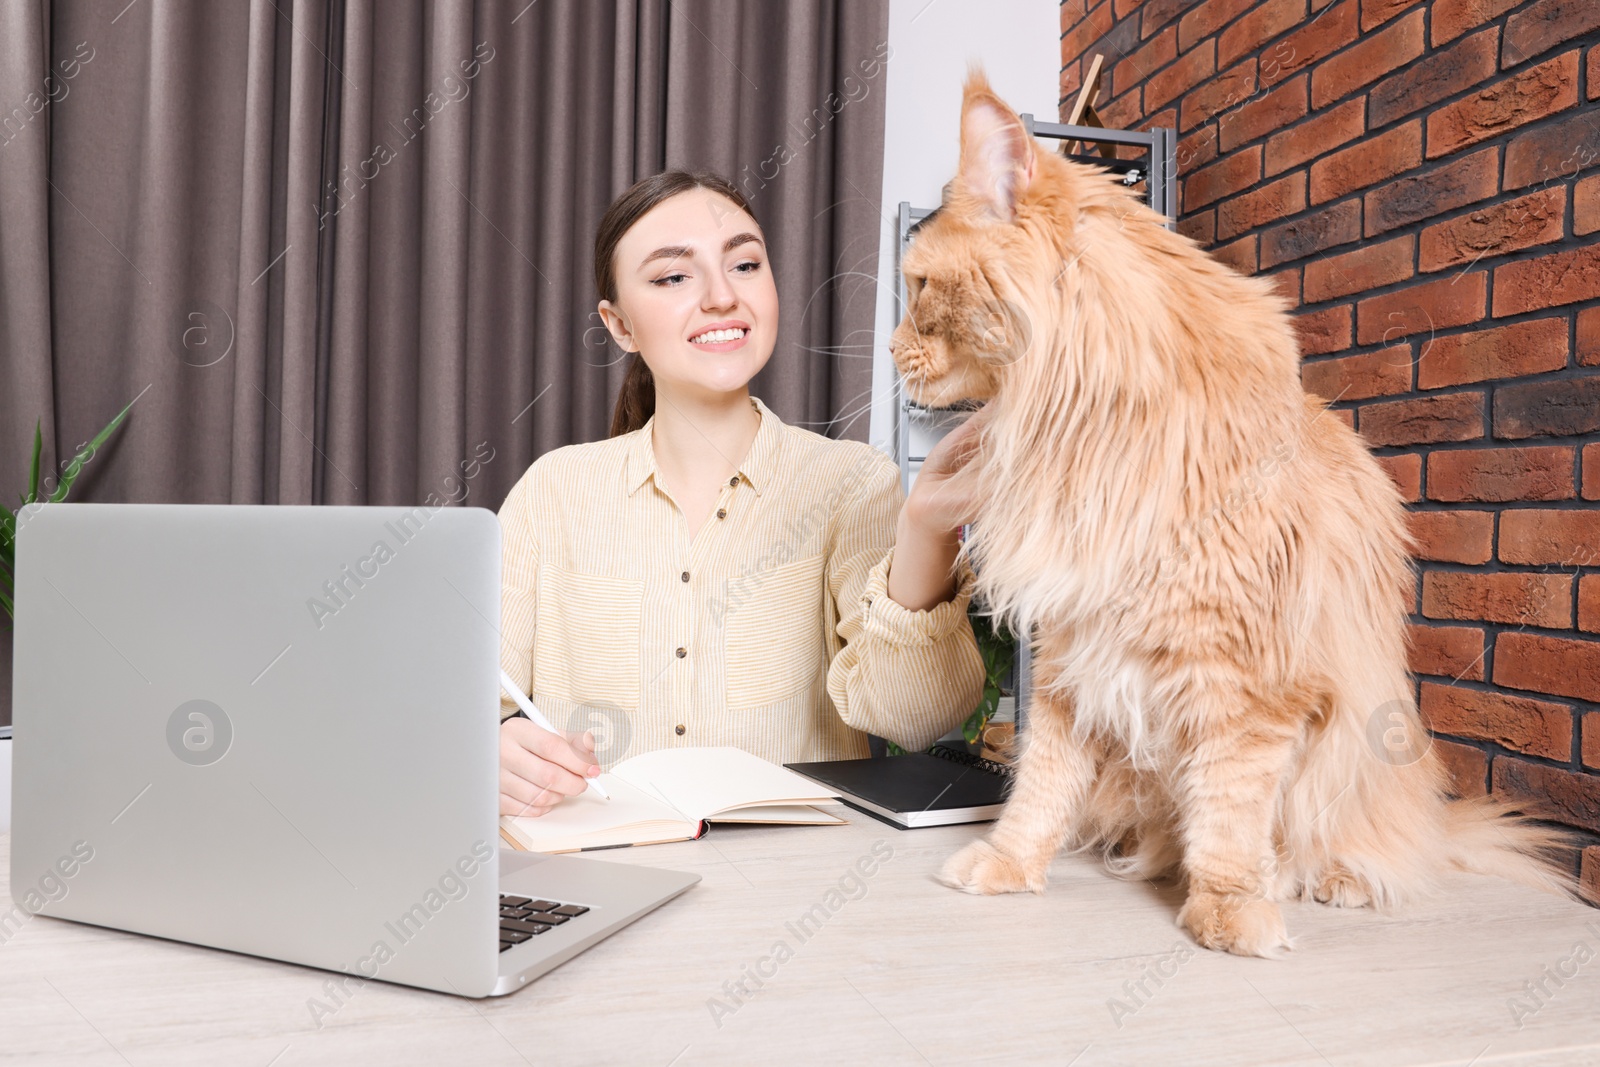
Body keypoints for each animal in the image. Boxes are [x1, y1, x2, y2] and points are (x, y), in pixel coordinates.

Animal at [896, 68, 1580, 959]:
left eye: (916, 288)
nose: (891, 351)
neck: (1084, 432)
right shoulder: (1070, 647)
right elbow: (1041, 780)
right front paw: (1011, 864)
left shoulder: (1248, 679)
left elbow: (1229, 803)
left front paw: (1228, 907)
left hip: (1361, 748)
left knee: (1377, 844)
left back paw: (1320, 877)